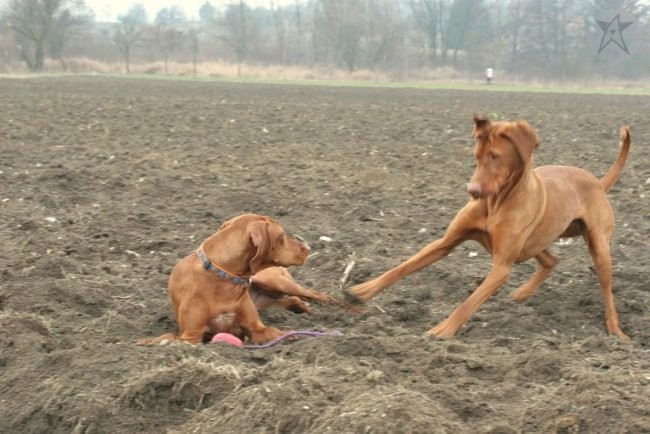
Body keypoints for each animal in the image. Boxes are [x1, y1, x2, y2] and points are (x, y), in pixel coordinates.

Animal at [138, 212, 350, 344]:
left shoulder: (257, 329)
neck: (221, 278)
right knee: (290, 300)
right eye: (282, 235)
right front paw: (151, 341)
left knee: (315, 294)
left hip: (273, 281)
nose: (308, 248)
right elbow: (170, 336)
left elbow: (281, 333)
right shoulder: (191, 336)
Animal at [346, 116, 632, 340]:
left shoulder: (501, 267)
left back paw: (615, 330)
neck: (495, 203)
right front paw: (361, 291)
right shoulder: (445, 243)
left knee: (606, 288)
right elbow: (401, 268)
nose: (472, 191)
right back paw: (521, 294)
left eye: (495, 156)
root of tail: (597, 182)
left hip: (598, 247)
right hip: (534, 242)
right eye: (476, 156)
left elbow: (469, 302)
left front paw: (442, 330)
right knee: (551, 259)